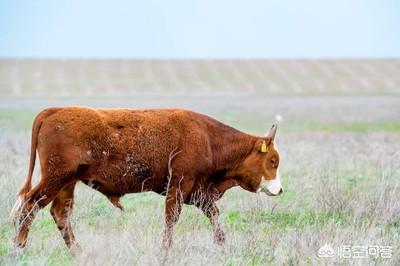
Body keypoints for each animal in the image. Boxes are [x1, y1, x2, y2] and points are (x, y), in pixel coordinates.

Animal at [10, 106, 282, 251]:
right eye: (272, 160)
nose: (280, 190)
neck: (207, 138)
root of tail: (53, 111)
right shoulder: (179, 186)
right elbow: (171, 218)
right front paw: (165, 249)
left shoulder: (198, 191)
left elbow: (212, 213)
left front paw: (221, 243)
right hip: (55, 179)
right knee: (31, 204)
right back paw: (19, 245)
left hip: (67, 183)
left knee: (60, 214)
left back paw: (79, 252)